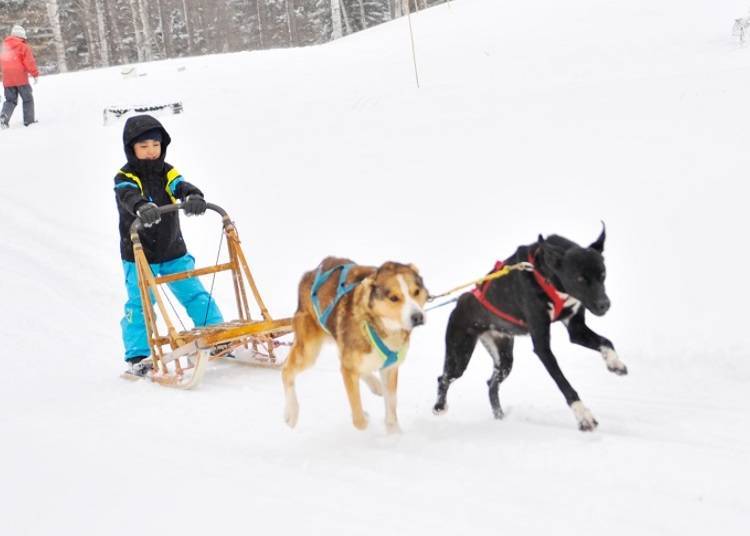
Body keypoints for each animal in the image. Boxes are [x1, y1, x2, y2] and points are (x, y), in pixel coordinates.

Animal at [284, 255, 428, 432]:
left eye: (416, 292)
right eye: (394, 298)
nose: (418, 317)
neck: (379, 326)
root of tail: (309, 274)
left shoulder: (390, 369)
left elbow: (391, 408)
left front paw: (394, 433)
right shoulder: (350, 368)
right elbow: (359, 421)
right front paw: (364, 418)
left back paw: (375, 384)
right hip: (309, 351)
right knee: (287, 370)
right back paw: (291, 412)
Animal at [432, 226, 624, 432]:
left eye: (603, 275)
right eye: (580, 279)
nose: (605, 305)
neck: (546, 276)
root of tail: (460, 301)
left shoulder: (576, 329)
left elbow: (606, 341)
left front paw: (615, 363)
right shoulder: (542, 347)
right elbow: (563, 382)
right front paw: (583, 416)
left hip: (505, 360)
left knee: (491, 384)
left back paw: (500, 416)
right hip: (459, 354)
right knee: (444, 378)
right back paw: (439, 406)